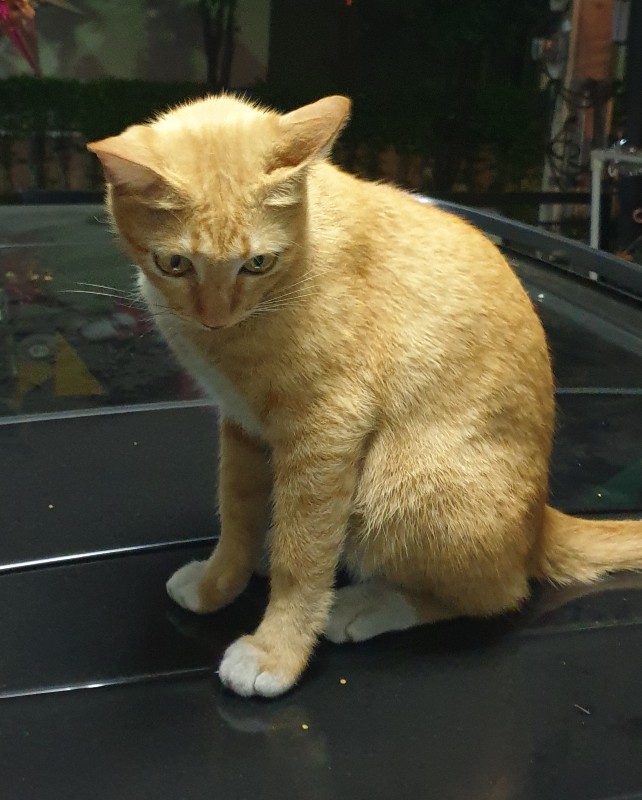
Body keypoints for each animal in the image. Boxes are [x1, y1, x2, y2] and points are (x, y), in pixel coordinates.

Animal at [88, 94, 642, 698]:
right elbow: (236, 512)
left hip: (400, 487)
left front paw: (278, 650)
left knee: (497, 593)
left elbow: (303, 557)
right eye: (174, 263)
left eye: (257, 262)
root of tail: (540, 520)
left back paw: (365, 605)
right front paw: (220, 580)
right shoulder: (241, 424)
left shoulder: (326, 431)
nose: (214, 317)